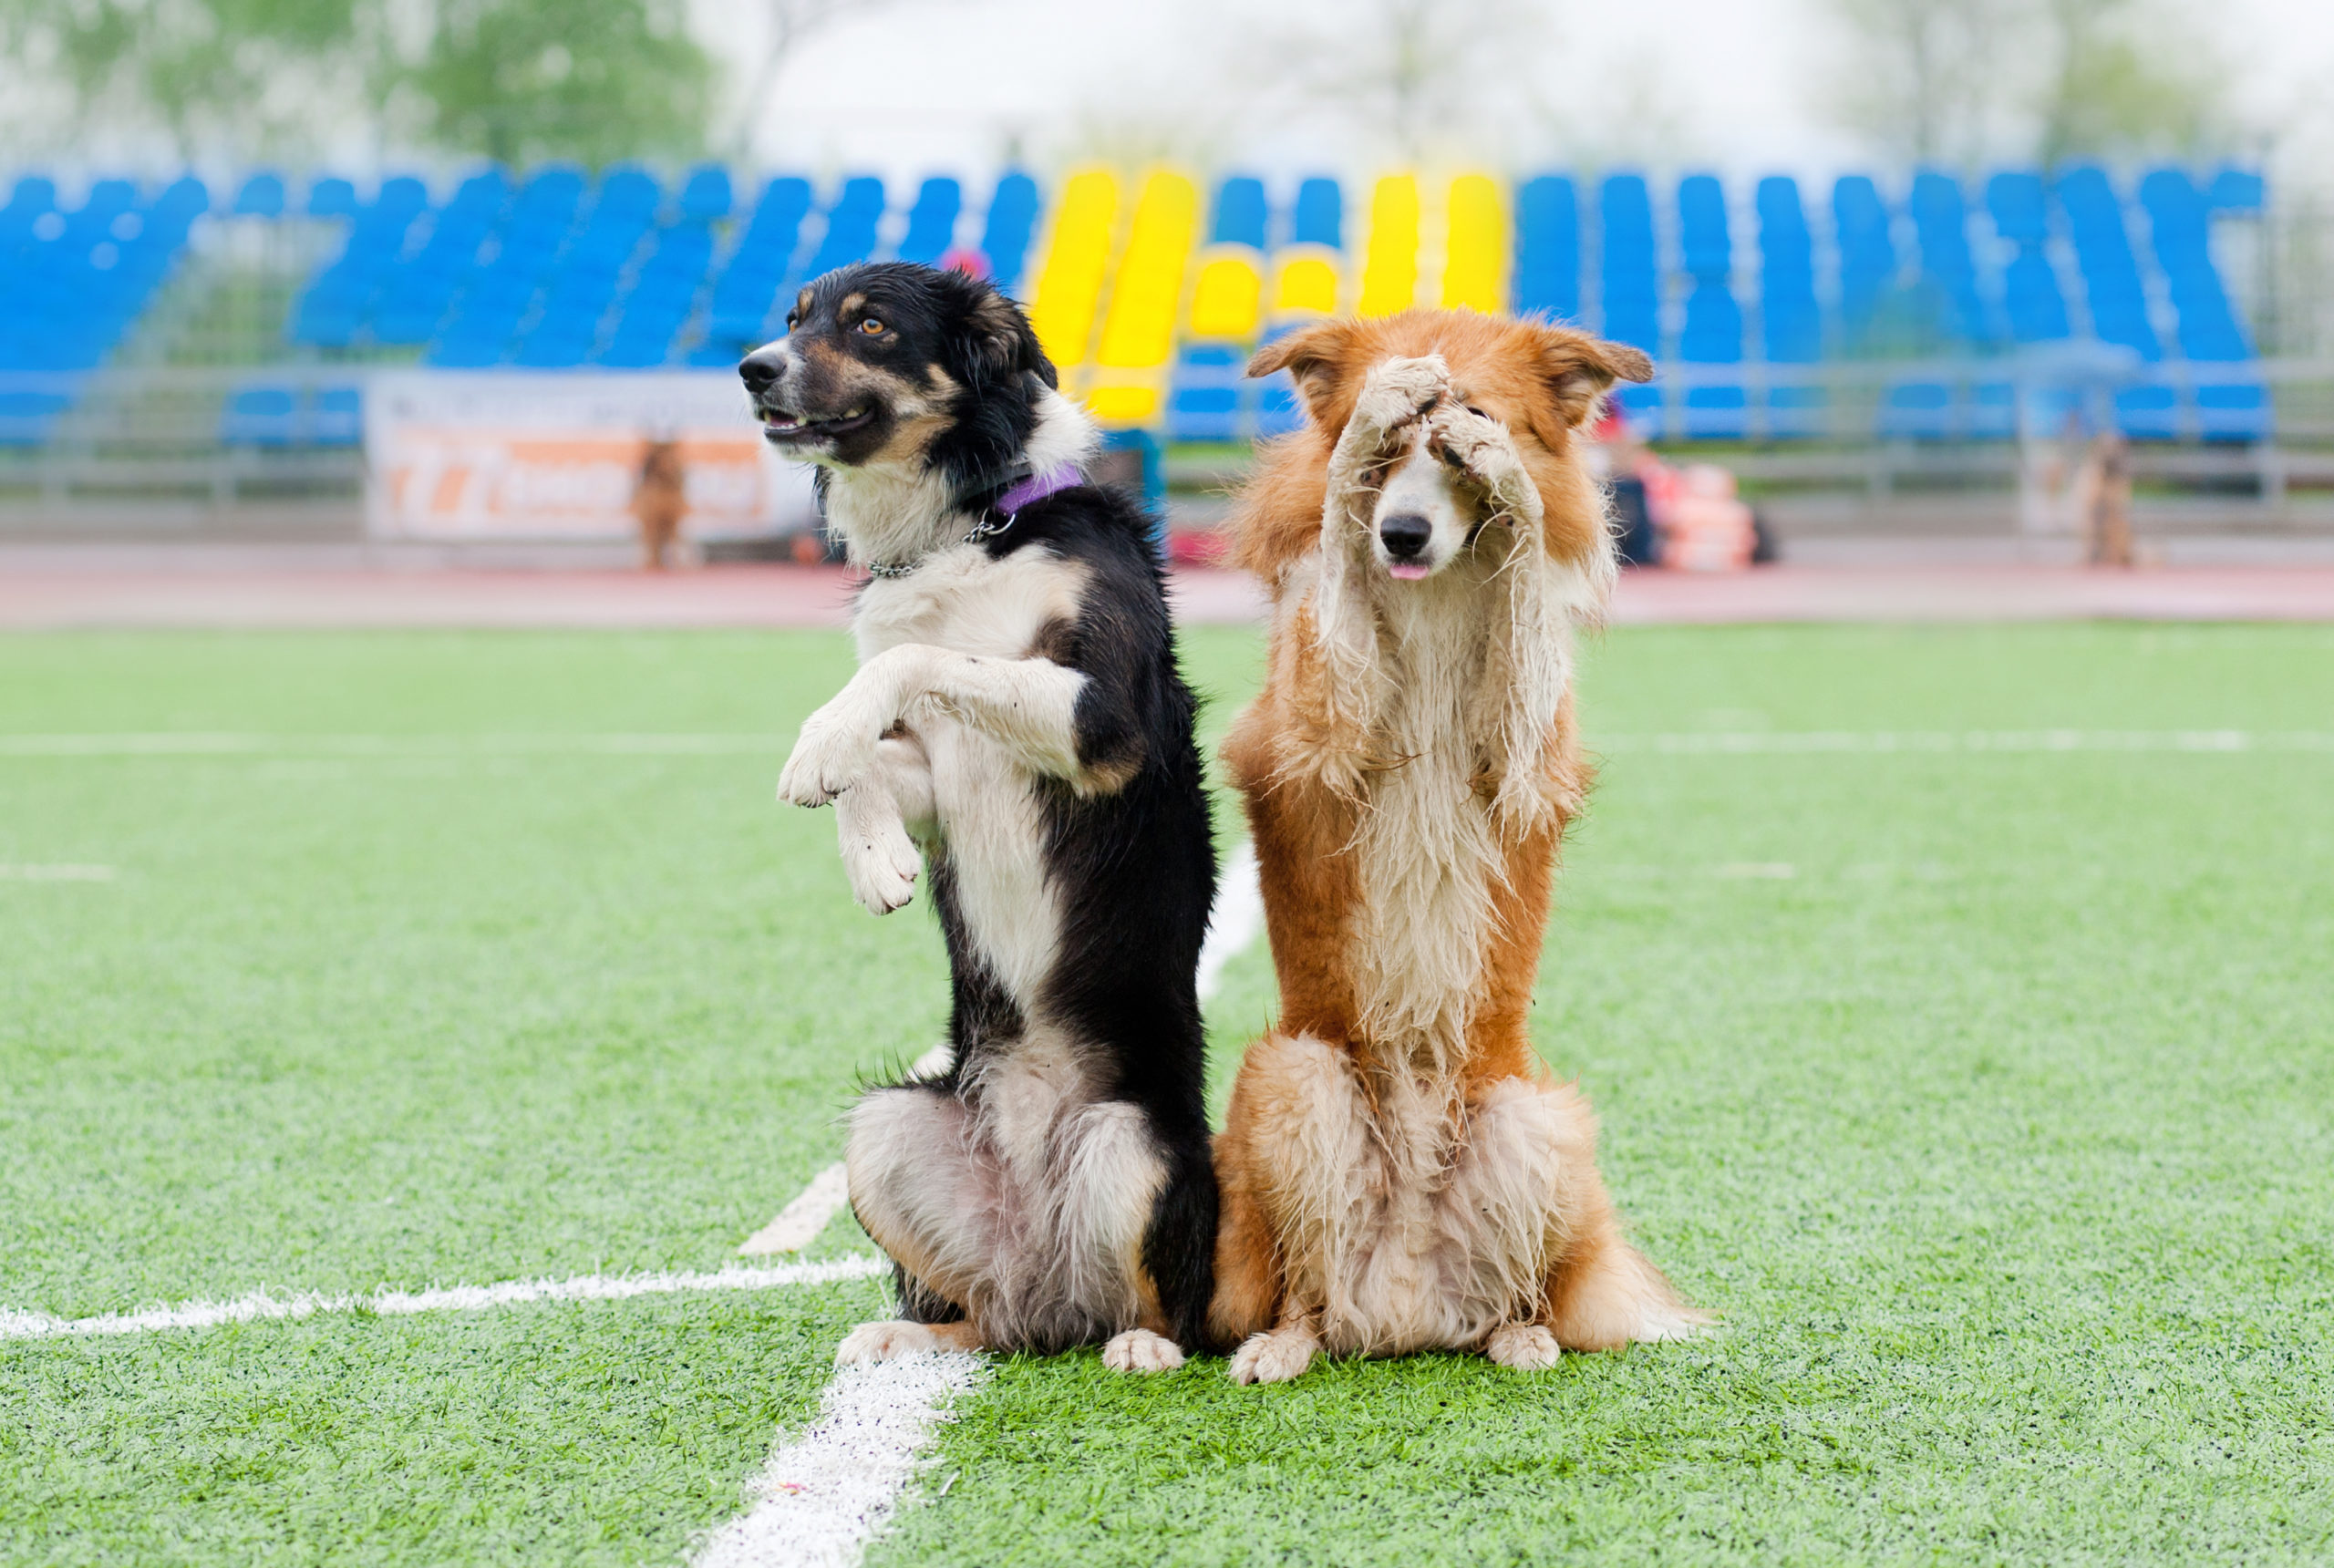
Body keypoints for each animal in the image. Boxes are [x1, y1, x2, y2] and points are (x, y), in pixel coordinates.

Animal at [742, 265, 1223, 1372]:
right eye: (794, 320)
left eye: (872, 324)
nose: (752, 368)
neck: (969, 525)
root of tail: (1050, 1275)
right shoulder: (941, 769)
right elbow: (884, 743)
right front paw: (874, 856)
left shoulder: (1101, 723)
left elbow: (913, 659)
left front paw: (816, 743)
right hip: (887, 1130)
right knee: (992, 1318)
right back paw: (906, 1335)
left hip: (1132, 1145)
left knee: (1160, 1304)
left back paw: (1145, 1348)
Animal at [1213, 310, 1708, 1381]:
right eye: (1392, 451)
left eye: (1461, 443)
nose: (1401, 533)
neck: (1432, 598)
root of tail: (1404, 1301)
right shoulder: (1320, 740)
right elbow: (1335, 541)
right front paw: (1363, 443)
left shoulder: (1521, 764)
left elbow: (1523, 584)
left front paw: (1509, 482)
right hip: (1295, 1076)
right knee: (1304, 1282)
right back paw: (1283, 1346)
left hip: (1537, 1116)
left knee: (1520, 1291)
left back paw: (1520, 1336)